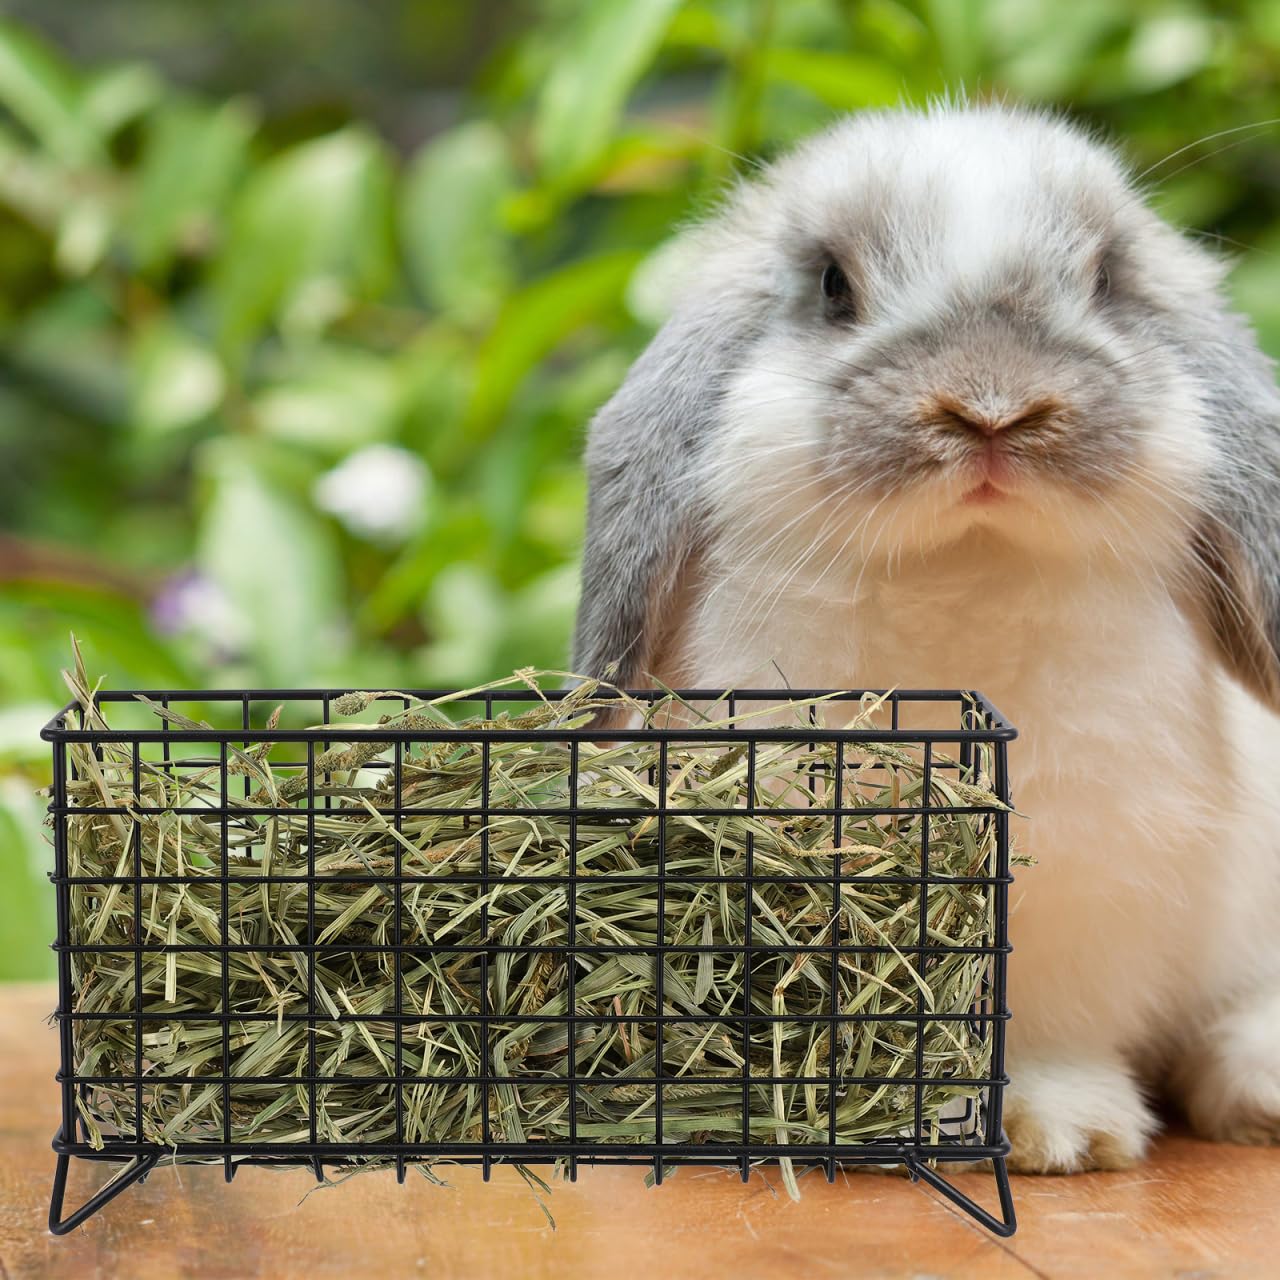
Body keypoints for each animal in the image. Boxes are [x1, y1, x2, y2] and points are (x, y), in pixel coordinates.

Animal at [571, 101, 1280, 1173]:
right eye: (833, 285)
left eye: (1107, 281)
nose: (991, 407)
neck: (963, 571)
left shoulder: (1092, 890)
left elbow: (1044, 1029)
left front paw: (1057, 1134)